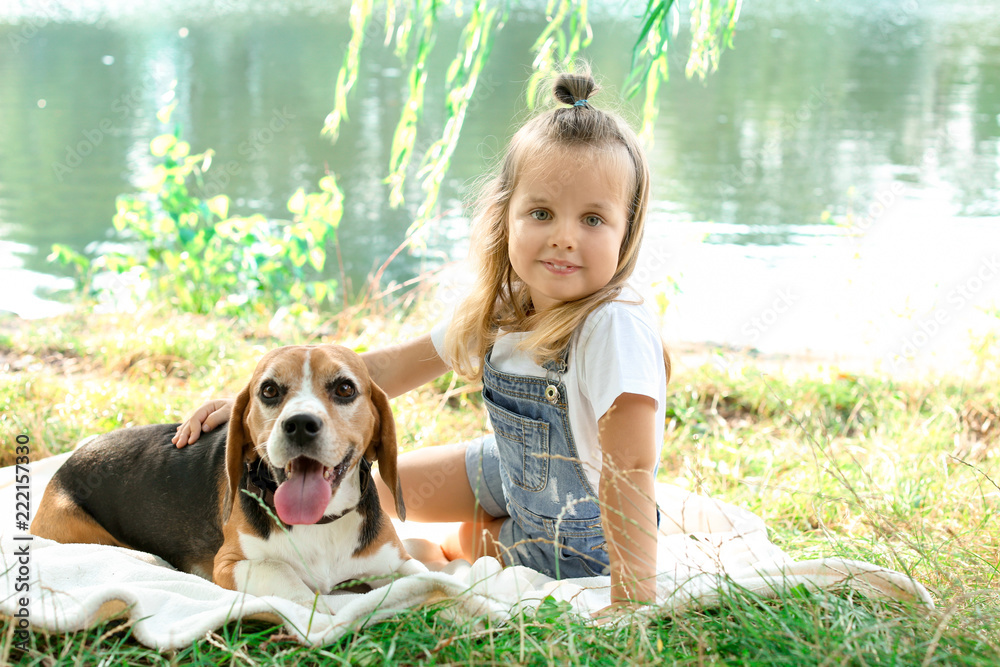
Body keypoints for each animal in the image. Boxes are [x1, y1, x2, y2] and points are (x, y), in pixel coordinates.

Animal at [31, 344, 422, 604]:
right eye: (269, 390)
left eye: (344, 388)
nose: (299, 424)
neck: (319, 525)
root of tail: (70, 459)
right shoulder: (231, 565)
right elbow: (287, 576)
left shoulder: (399, 562)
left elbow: (426, 578)